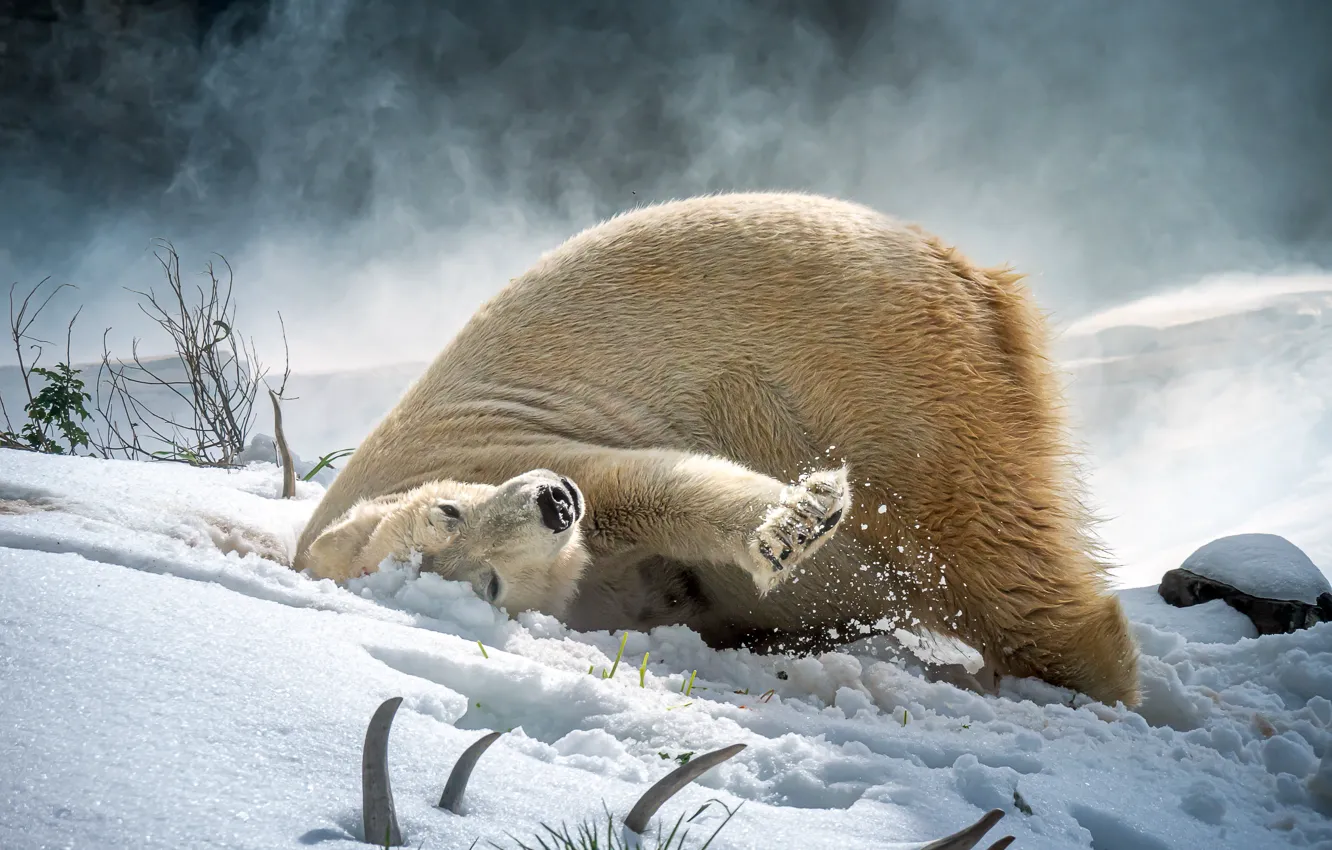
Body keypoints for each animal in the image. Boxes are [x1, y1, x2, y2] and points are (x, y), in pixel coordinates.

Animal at [293, 191, 1141, 707]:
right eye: (488, 586)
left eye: (448, 512)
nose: (552, 503)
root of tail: (968, 270)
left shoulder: (497, 442)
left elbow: (651, 486)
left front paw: (794, 525)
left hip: (869, 365)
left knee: (976, 540)